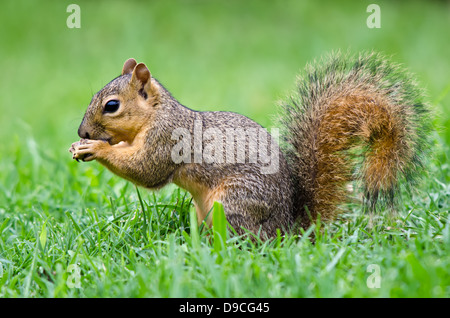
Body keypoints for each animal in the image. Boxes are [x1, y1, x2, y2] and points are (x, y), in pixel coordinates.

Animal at [69, 51, 428, 238]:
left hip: (234, 202)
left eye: (111, 105)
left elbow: (147, 170)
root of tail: (289, 229)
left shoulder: (167, 138)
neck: (157, 113)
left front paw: (95, 149)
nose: (82, 131)